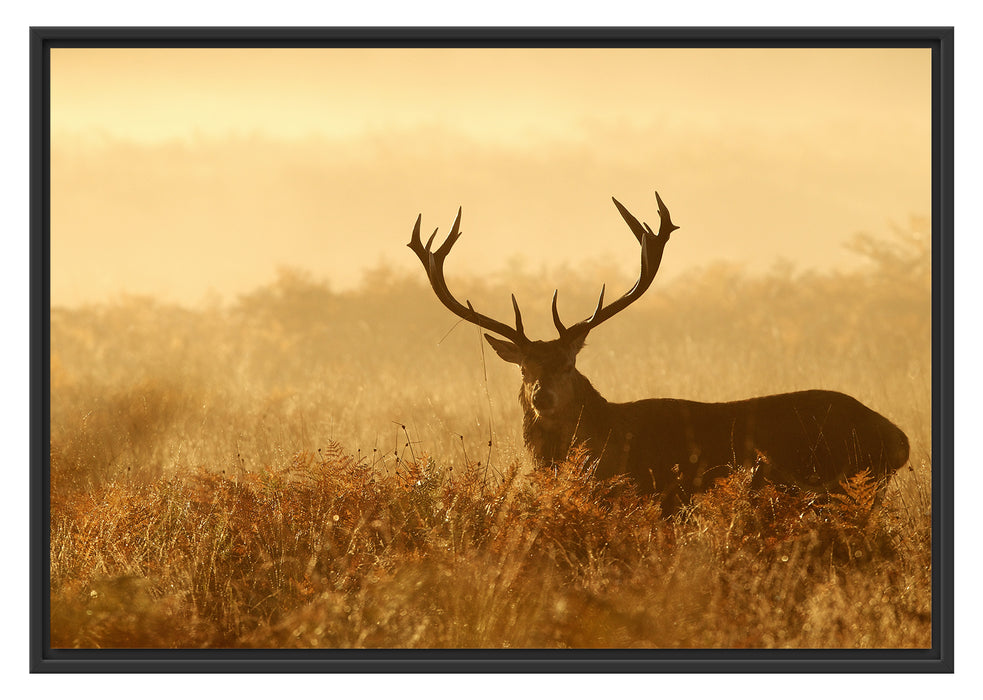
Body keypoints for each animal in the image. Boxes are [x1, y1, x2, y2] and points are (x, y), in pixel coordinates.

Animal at [406, 194, 908, 512]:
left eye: (569, 364)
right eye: (525, 367)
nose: (541, 397)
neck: (604, 441)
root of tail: (899, 439)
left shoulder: (656, 494)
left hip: (842, 483)